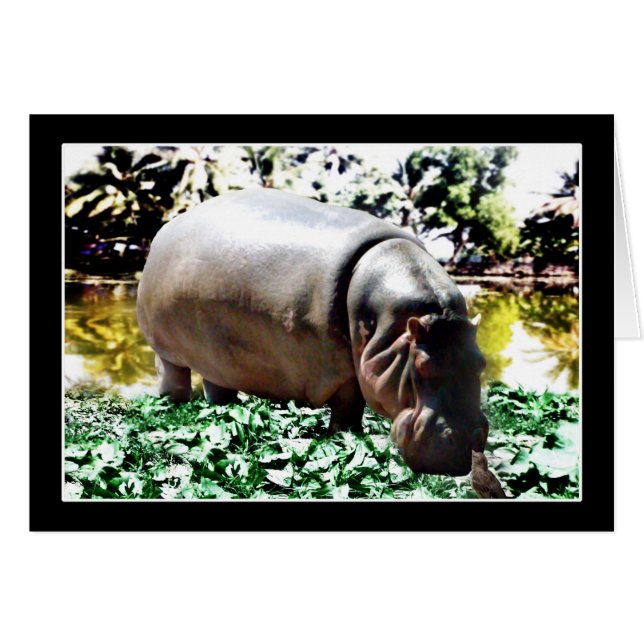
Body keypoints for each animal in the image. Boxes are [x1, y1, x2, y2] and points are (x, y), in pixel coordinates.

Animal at [137, 188, 489, 476]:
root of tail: (166, 229)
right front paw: (346, 437)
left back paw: (224, 409)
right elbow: (348, 409)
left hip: (216, 354)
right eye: (421, 365)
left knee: (216, 383)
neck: (394, 328)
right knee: (173, 375)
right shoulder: (342, 372)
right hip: (164, 349)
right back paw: (173, 404)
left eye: (481, 363)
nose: (467, 440)